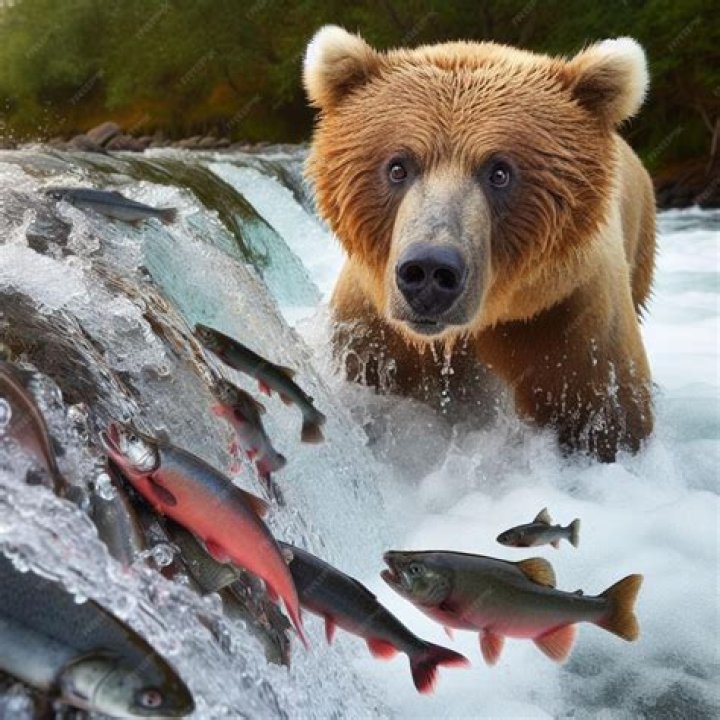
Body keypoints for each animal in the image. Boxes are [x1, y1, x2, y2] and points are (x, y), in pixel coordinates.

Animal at [303, 26, 656, 462]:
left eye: (499, 172)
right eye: (398, 166)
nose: (430, 270)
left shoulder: (567, 322)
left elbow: (608, 418)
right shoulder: (373, 334)